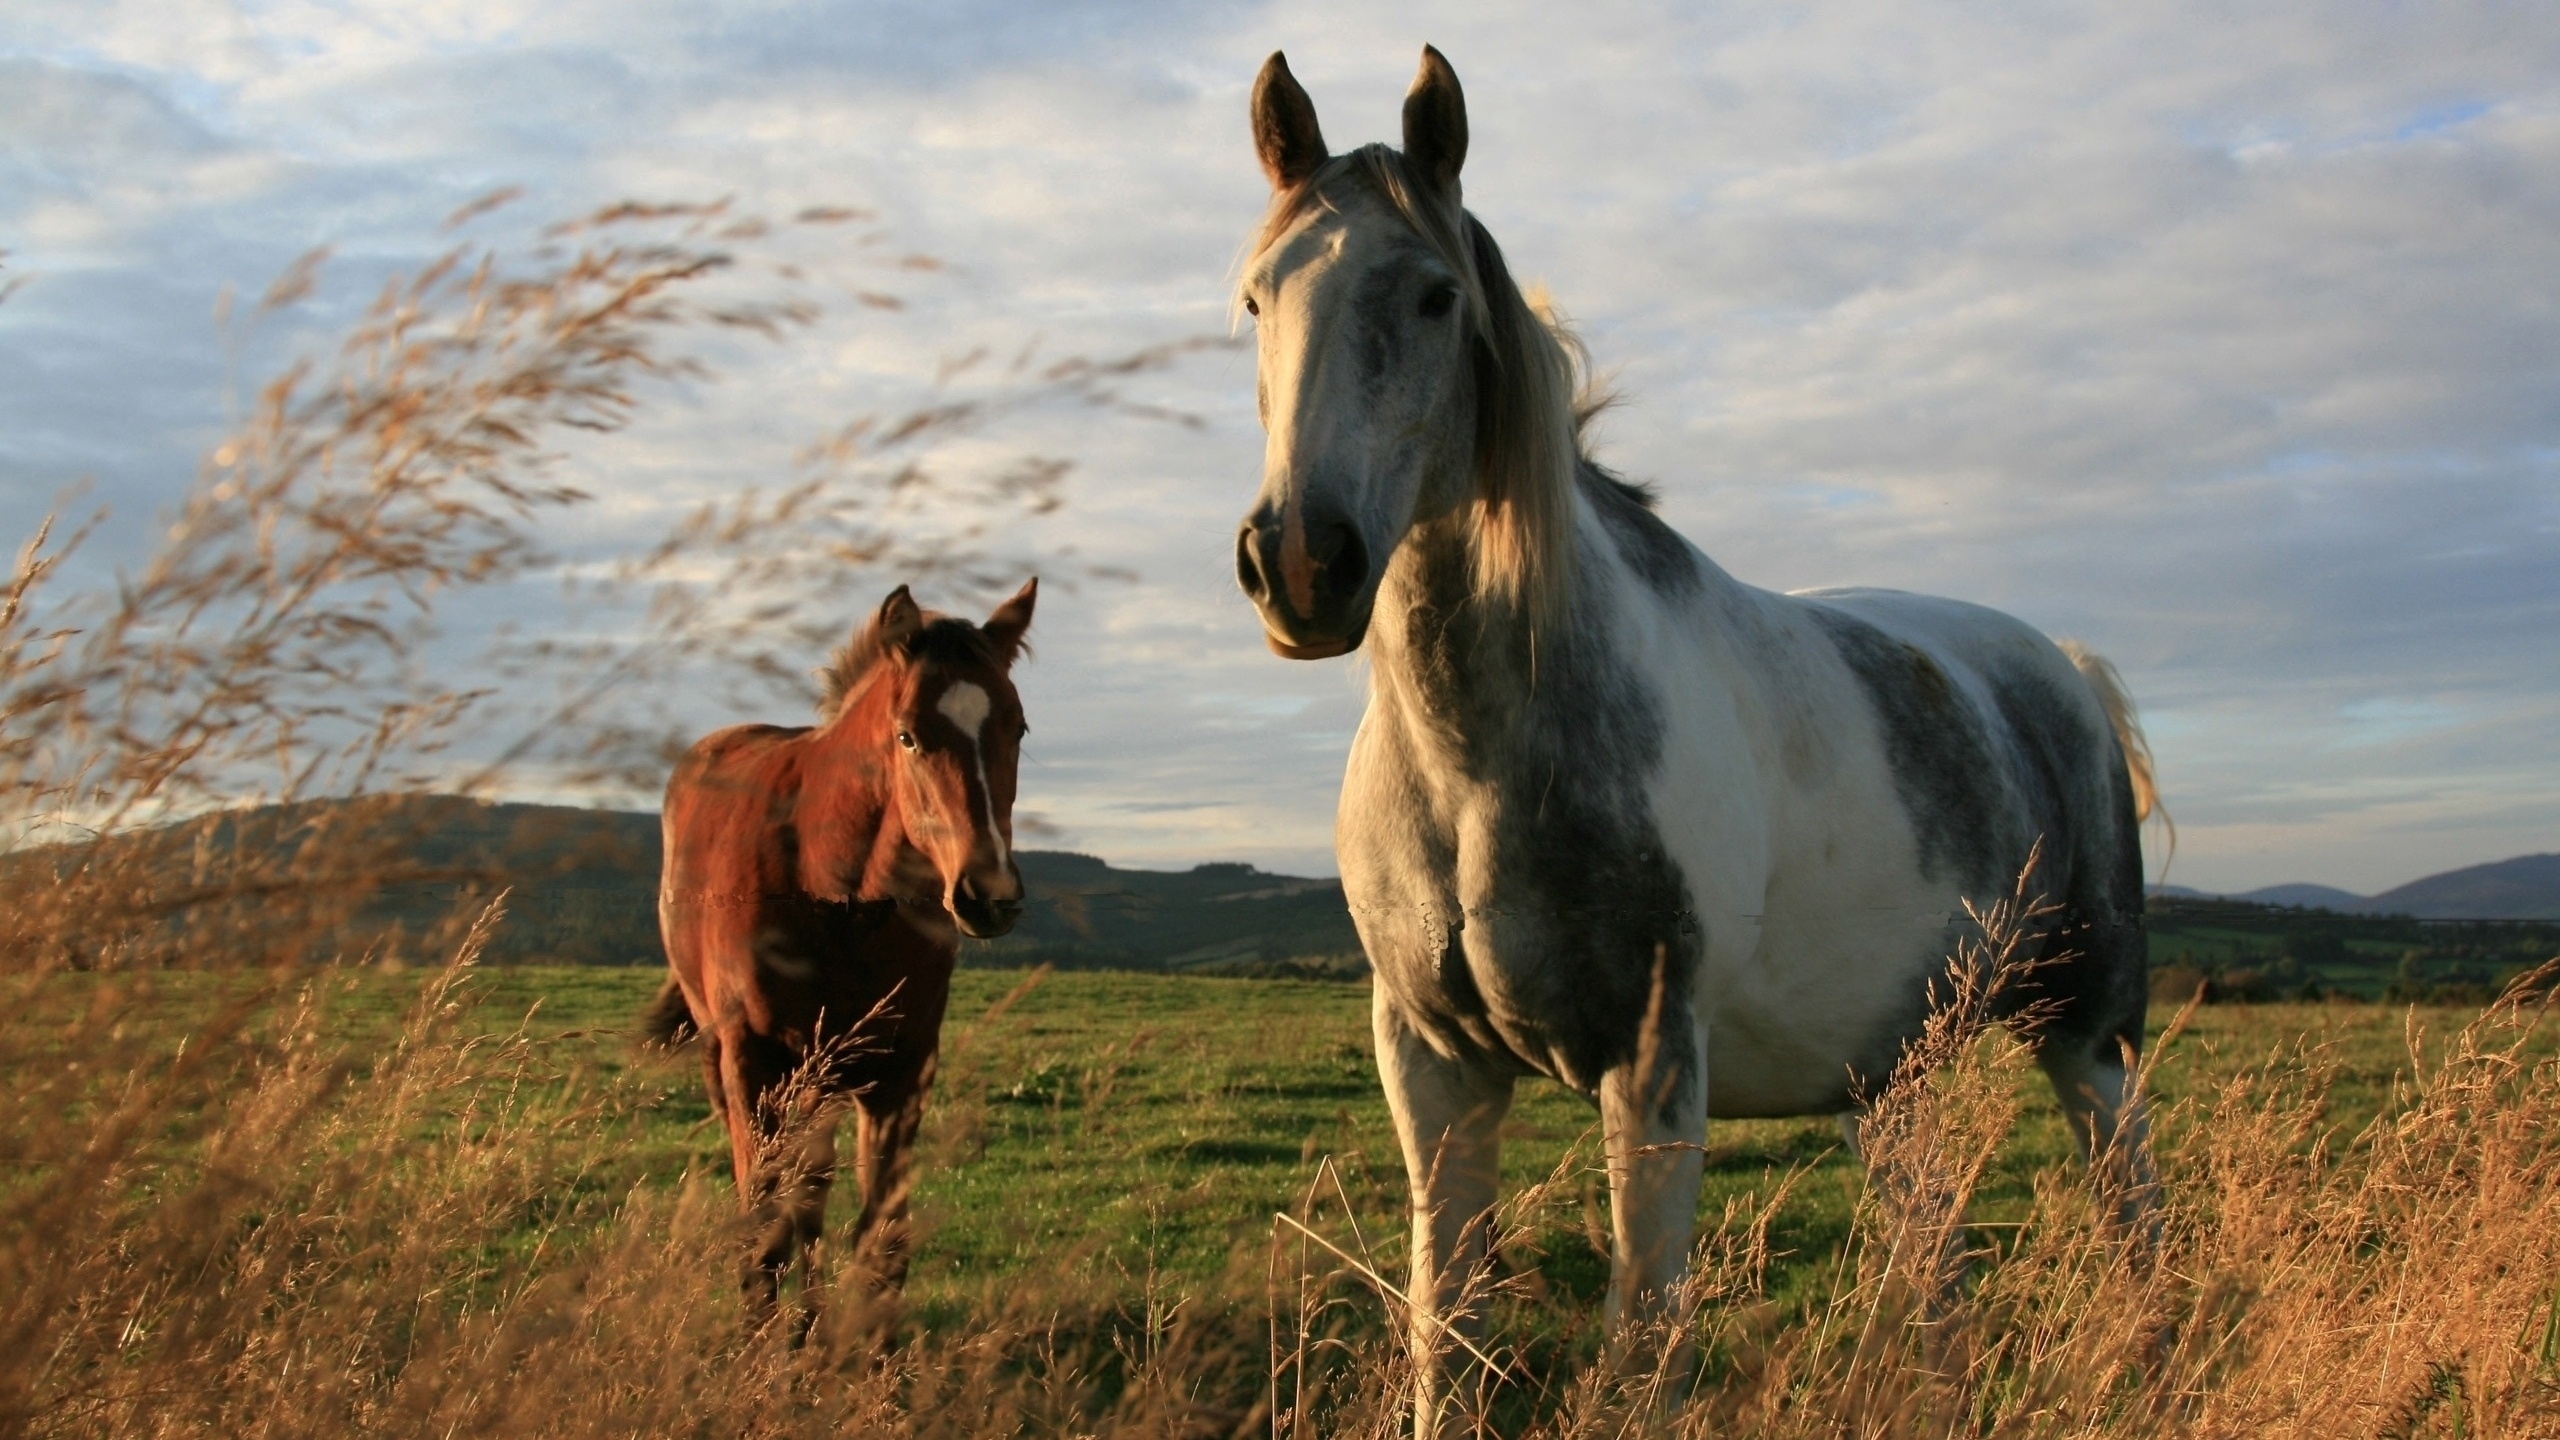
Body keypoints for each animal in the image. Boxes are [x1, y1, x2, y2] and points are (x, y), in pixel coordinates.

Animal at [1233, 41, 2160, 1424]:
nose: (1300, 563)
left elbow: (1641, 1347)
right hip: (1890, 1080)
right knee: (1936, 1261)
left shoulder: (1655, 1068)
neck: (1478, 767)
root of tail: (2066, 674)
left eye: (1437, 297)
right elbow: (1445, 1334)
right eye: (1254, 301)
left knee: (2132, 1222)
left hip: (2090, 1038)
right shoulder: (1432, 1068)